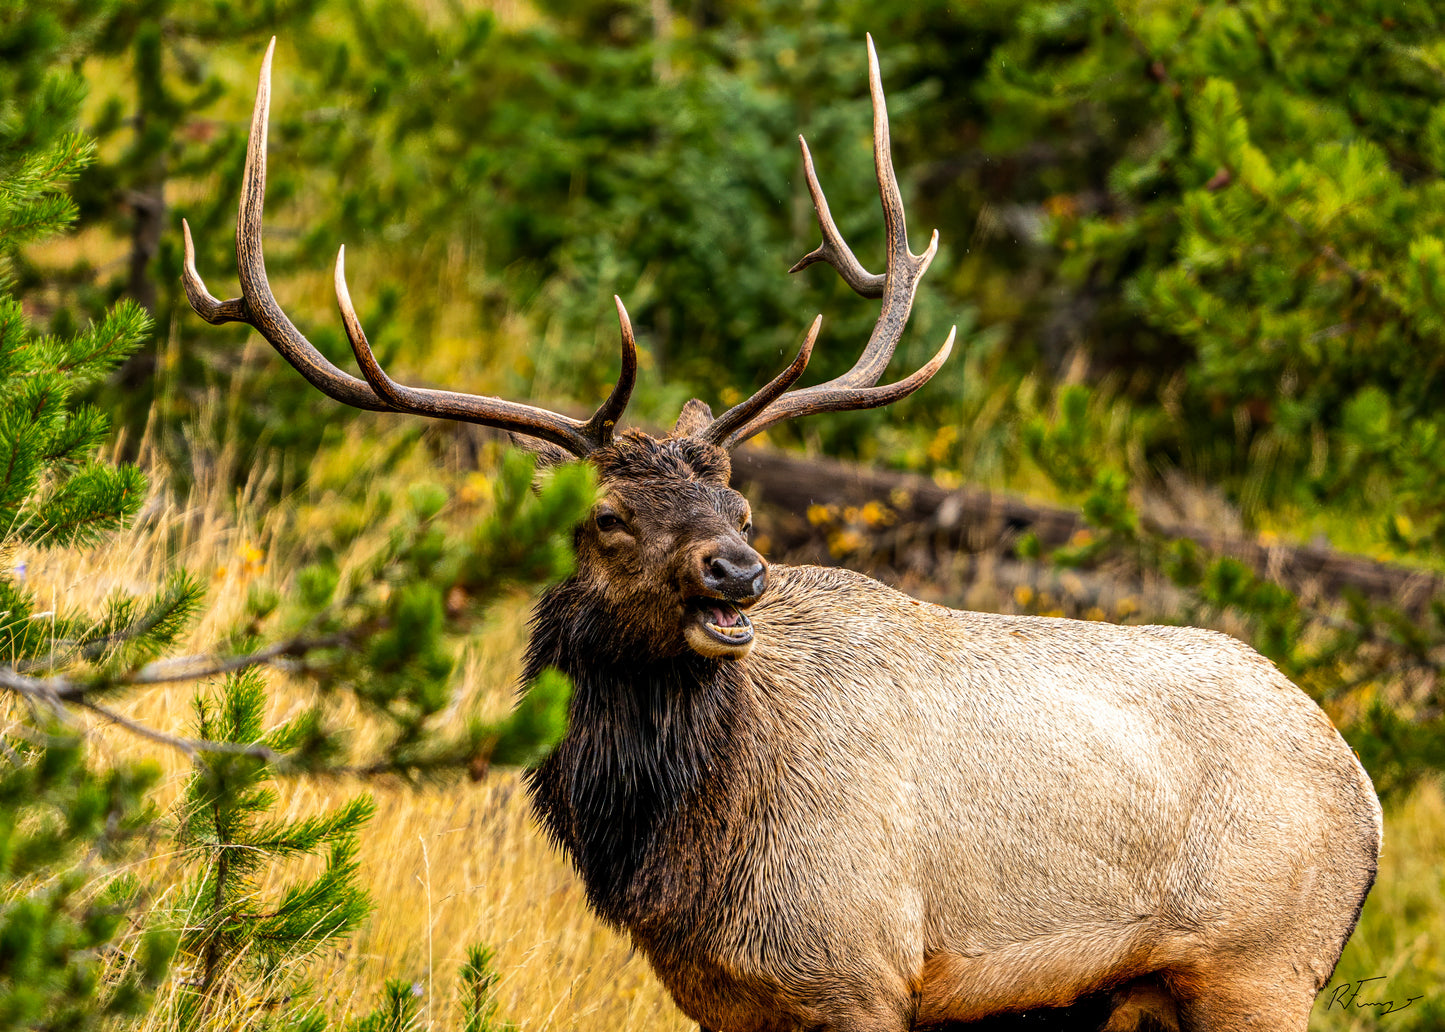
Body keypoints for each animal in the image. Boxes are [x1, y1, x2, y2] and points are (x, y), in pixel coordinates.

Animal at [186, 36, 1381, 1029]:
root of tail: (1363, 797)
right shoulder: (724, 996)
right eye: (606, 518)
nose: (738, 572)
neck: (680, 845)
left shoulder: (856, 974)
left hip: (1259, 966)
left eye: (743, 508)